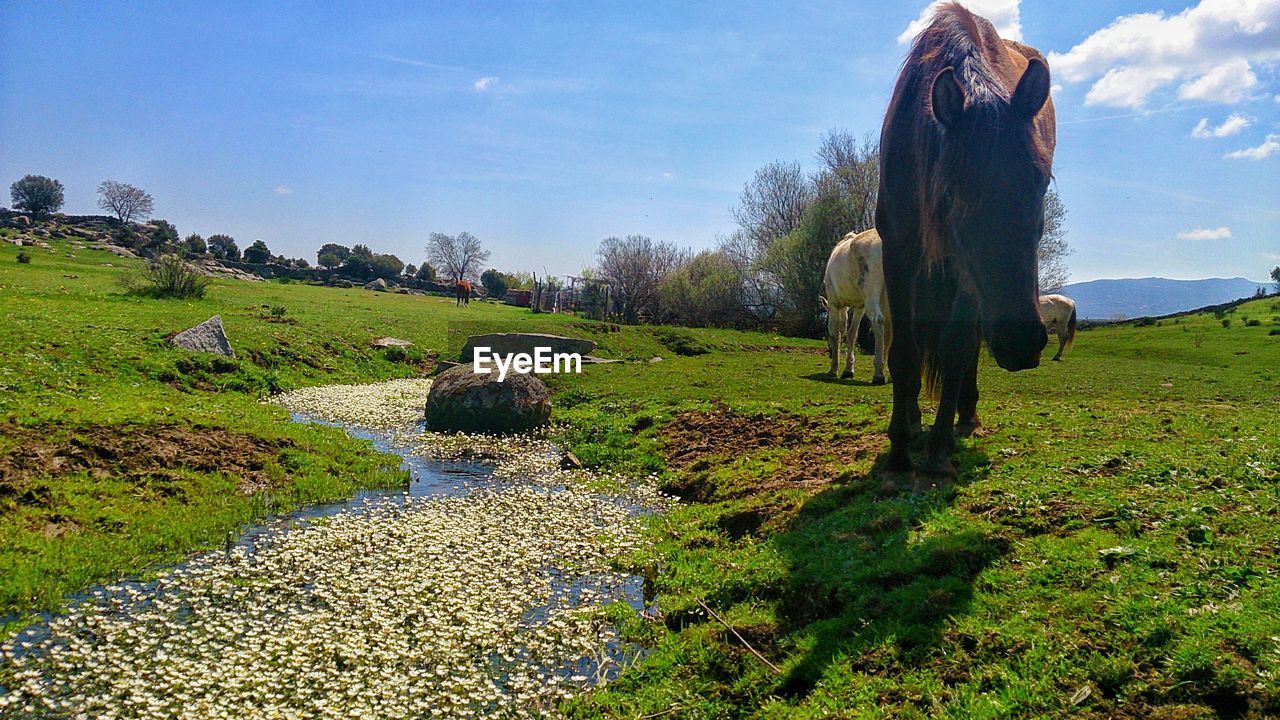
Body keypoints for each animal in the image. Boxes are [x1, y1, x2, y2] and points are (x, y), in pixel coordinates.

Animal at [819, 226, 890, 384]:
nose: (830, 353)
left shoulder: (834, 305)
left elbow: (836, 334)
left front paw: (833, 369)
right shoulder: (859, 307)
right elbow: (852, 334)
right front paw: (848, 369)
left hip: (871, 298)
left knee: (878, 323)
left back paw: (878, 374)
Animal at [875, 4, 1054, 481]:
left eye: (1041, 181)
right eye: (953, 193)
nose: (1021, 341)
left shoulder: (963, 272)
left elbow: (956, 348)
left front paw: (938, 450)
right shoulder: (899, 250)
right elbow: (905, 351)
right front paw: (900, 449)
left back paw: (963, 414)